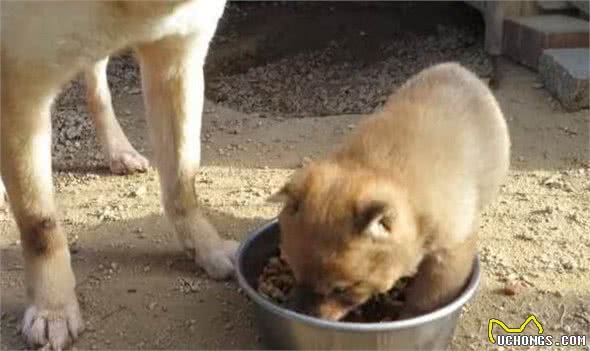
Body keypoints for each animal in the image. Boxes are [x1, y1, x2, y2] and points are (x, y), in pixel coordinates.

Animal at [2, 1, 238, 350]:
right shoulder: (21, 83)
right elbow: (39, 223)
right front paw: (53, 309)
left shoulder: (178, 57)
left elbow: (182, 179)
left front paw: (207, 247)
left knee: (96, 89)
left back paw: (118, 150)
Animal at [270, 62, 512, 322]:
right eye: (294, 271)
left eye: (342, 289)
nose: (303, 313)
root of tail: (458, 67)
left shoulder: (448, 253)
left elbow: (428, 298)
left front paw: (411, 315)